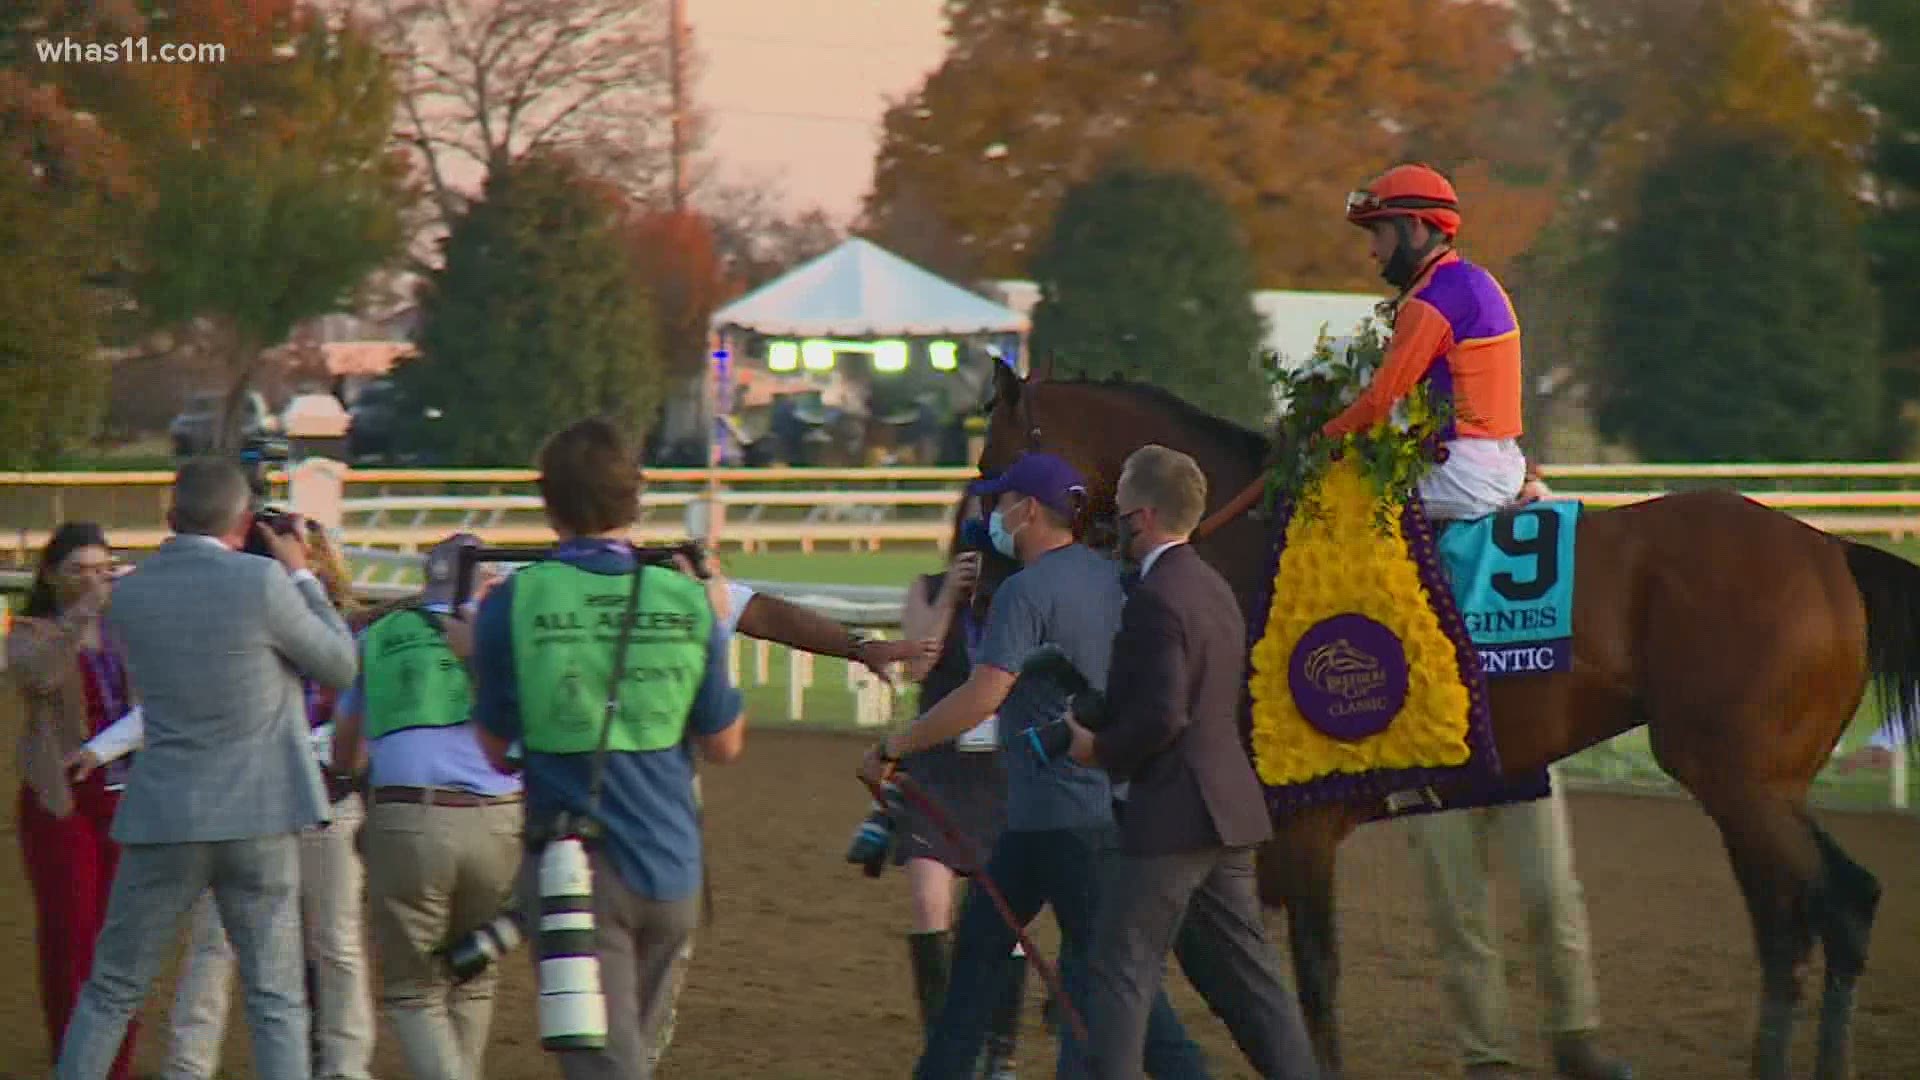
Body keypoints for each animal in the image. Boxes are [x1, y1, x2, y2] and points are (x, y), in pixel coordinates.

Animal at [975, 361, 1920, 1076]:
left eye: (992, 471)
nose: (982, 591)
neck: (1249, 553)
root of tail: (1830, 551)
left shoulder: (1299, 823)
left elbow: (1310, 979)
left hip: (1735, 776)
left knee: (1841, 905)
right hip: (1749, 785)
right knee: (1787, 927)